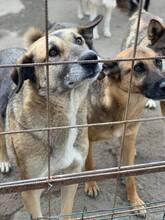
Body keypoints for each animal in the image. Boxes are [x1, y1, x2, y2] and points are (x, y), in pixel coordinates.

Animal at [0, 15, 102, 218]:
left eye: (79, 40)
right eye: (53, 52)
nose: (92, 58)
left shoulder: (71, 178)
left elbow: (66, 212)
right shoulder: (30, 191)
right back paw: (5, 161)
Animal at [85, 46, 165, 217]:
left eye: (158, 62)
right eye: (138, 68)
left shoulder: (128, 139)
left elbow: (130, 175)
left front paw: (135, 200)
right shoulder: (86, 138)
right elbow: (89, 164)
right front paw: (91, 184)